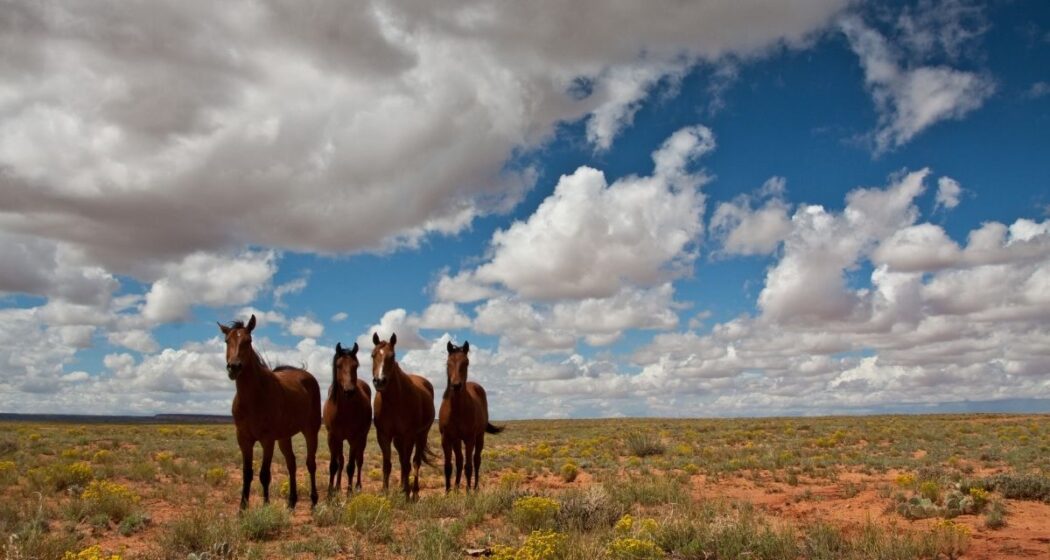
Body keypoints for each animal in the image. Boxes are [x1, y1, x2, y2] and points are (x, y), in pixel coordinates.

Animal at [216, 313, 319, 508]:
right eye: (227, 341)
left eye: (248, 341)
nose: (234, 367)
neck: (253, 398)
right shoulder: (244, 440)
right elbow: (247, 473)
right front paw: (242, 508)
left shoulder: (267, 440)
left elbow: (264, 474)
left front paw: (265, 506)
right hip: (285, 437)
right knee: (291, 463)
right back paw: (291, 502)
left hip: (310, 431)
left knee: (311, 463)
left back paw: (314, 502)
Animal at [323, 340, 373, 493]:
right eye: (338, 365)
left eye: (355, 365)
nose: (349, 391)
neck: (344, 411)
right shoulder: (333, 437)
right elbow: (334, 465)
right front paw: (330, 491)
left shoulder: (354, 438)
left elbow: (351, 466)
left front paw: (349, 492)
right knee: (341, 461)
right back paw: (338, 486)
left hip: (362, 438)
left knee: (359, 461)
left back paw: (357, 487)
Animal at [371, 332, 436, 498]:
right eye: (373, 355)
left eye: (392, 356)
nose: (379, 381)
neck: (394, 402)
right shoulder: (384, 436)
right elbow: (387, 465)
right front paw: (385, 492)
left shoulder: (409, 436)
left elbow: (408, 464)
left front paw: (407, 494)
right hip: (398, 439)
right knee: (402, 459)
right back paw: (402, 487)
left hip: (421, 436)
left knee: (415, 461)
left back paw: (414, 492)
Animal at [434, 338, 499, 491]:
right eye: (448, 363)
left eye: (466, 362)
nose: (456, 385)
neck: (457, 410)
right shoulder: (446, 439)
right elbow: (448, 466)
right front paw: (448, 492)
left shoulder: (469, 439)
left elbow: (468, 467)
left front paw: (468, 491)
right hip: (457, 440)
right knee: (459, 460)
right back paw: (457, 487)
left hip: (479, 437)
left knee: (476, 460)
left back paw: (475, 488)